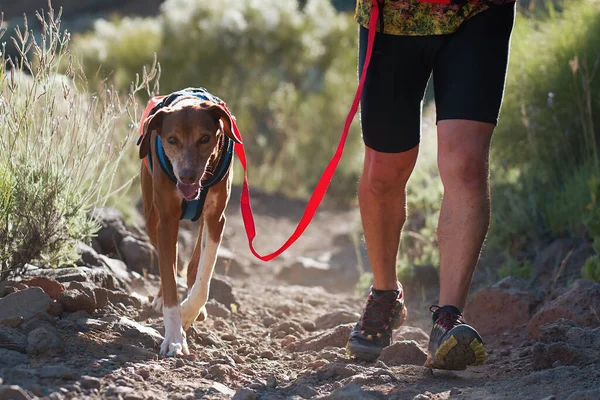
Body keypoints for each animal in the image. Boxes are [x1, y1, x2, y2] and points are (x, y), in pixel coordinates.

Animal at [139, 94, 241, 356]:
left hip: (204, 220)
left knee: (194, 262)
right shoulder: (166, 221)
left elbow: (204, 277)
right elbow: (169, 277)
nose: (187, 176)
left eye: (204, 138)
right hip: (151, 217)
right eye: (172, 140)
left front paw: (187, 313)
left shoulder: (216, 219)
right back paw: (160, 298)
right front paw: (174, 337)